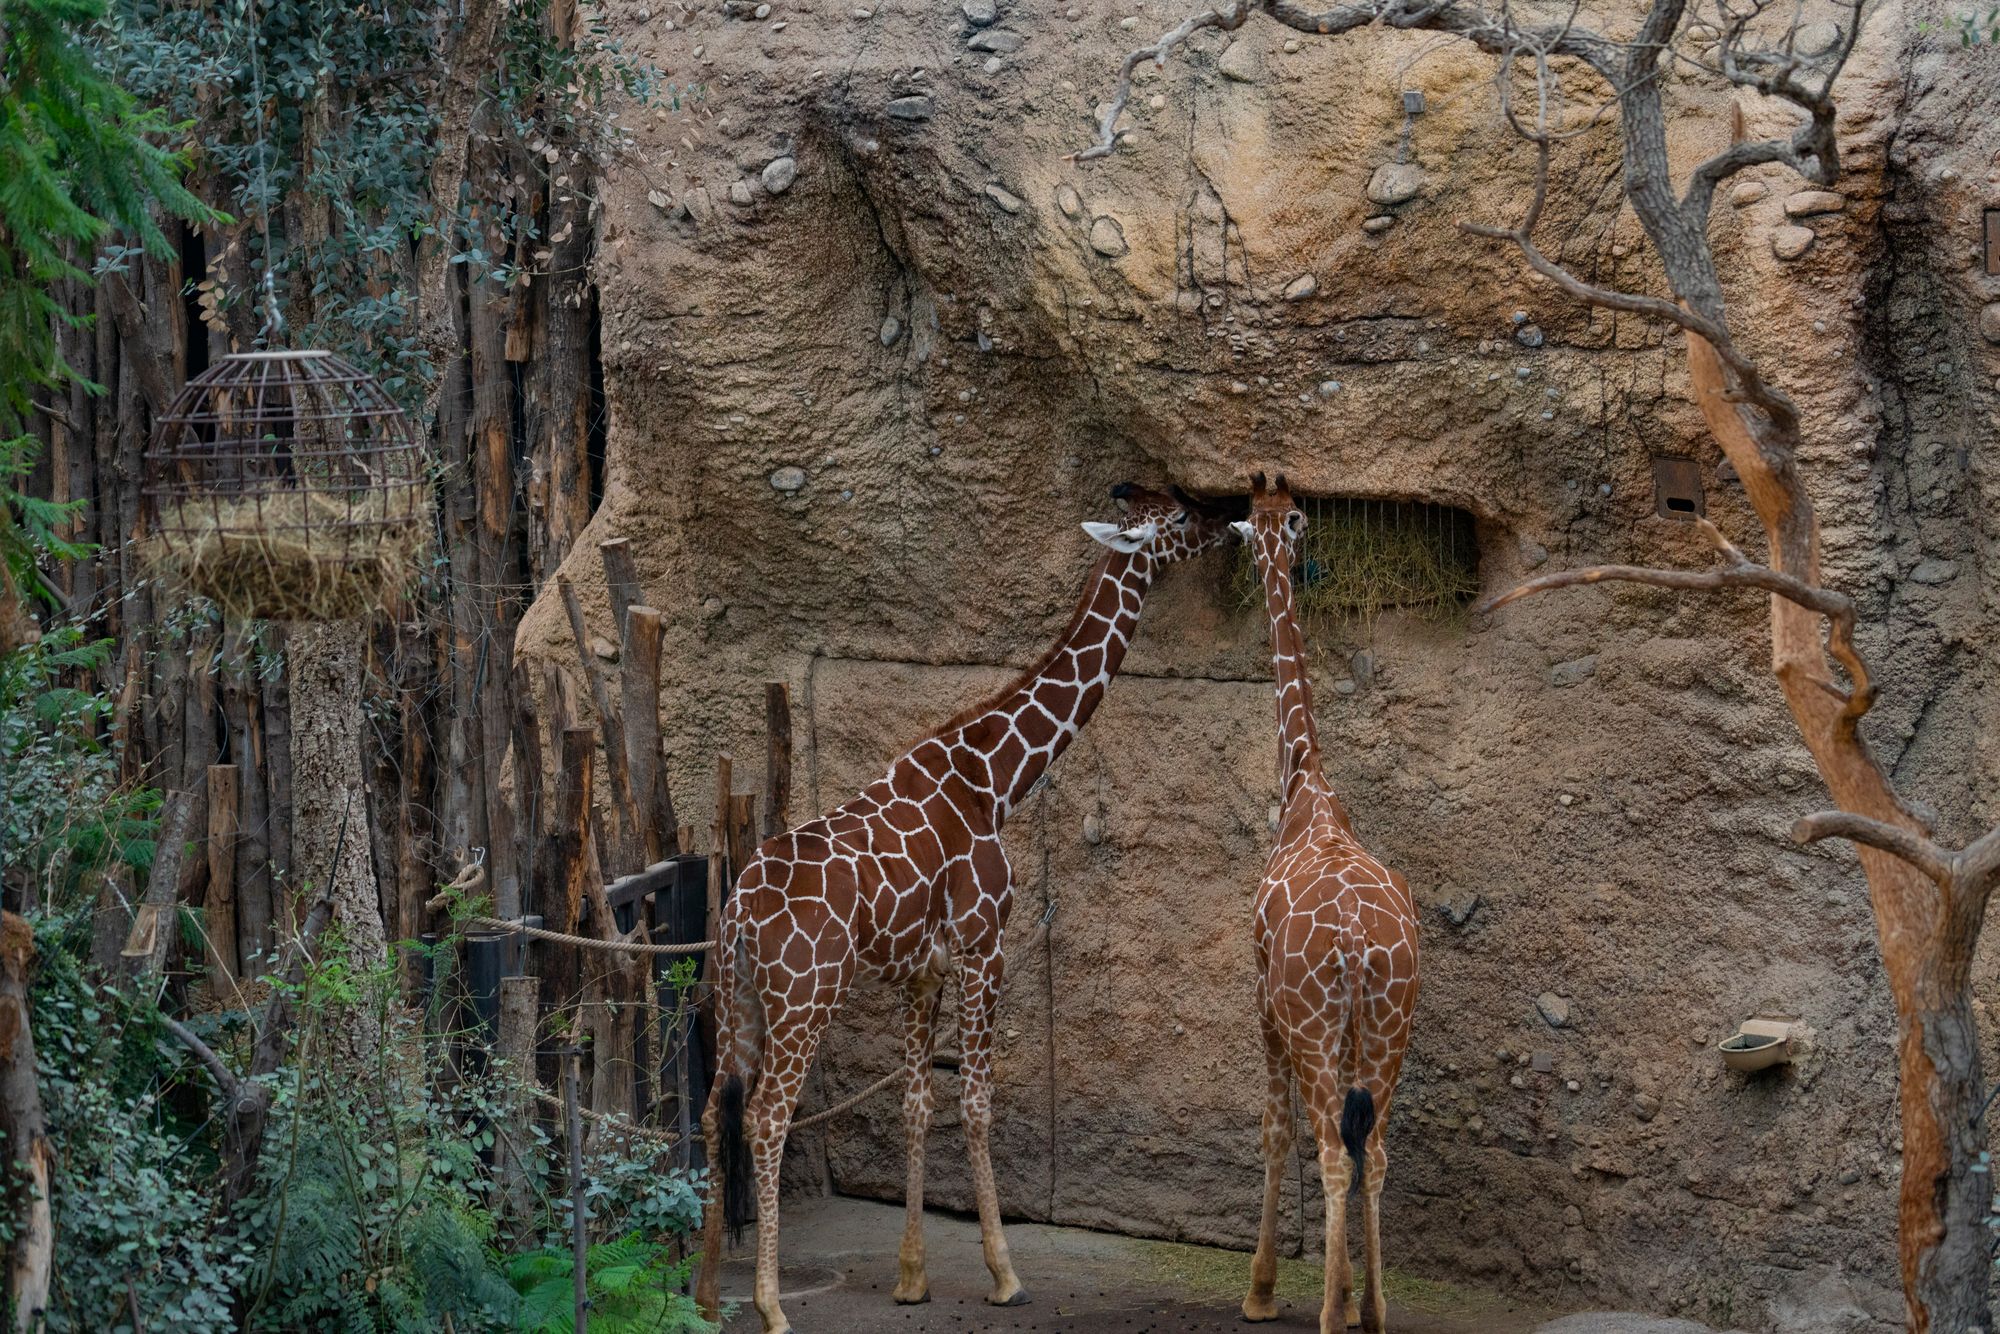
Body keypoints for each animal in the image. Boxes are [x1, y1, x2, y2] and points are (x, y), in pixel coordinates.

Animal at [694, 482, 1240, 1334]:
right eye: (1178, 518)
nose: (1228, 525)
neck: (995, 778)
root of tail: (742, 913)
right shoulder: (988, 945)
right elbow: (979, 1103)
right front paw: (1005, 1273)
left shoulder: (923, 969)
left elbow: (918, 1104)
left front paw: (912, 1279)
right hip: (805, 996)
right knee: (767, 1114)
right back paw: (770, 1304)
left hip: (738, 996)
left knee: (715, 1109)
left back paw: (702, 1293)